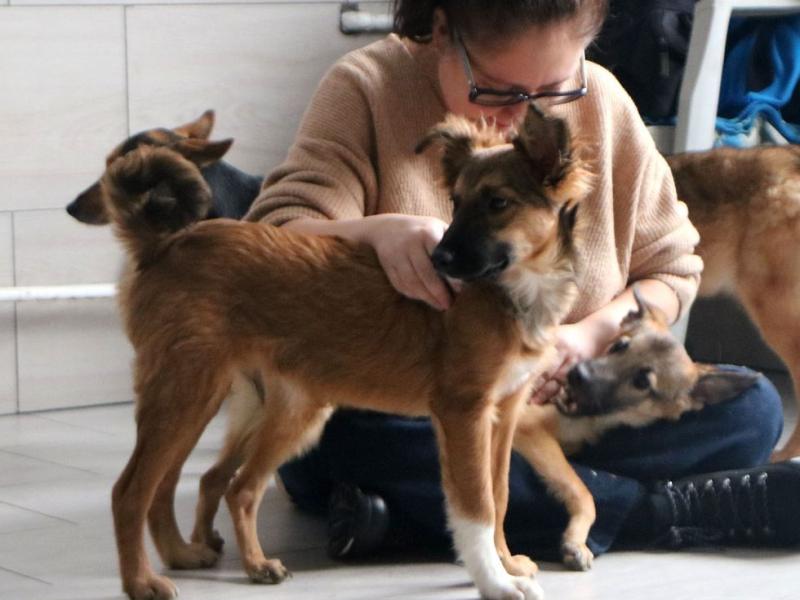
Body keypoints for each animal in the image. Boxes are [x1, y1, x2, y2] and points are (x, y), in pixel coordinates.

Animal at [101, 103, 591, 600]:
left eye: (497, 204)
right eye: (455, 202)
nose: (438, 260)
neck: (516, 288)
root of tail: (164, 244)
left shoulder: (504, 412)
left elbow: (500, 493)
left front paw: (506, 563)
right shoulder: (463, 412)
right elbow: (477, 506)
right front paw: (495, 581)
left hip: (269, 407)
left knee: (223, 487)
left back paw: (200, 556)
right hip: (185, 392)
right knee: (131, 491)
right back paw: (143, 581)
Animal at [512, 285, 760, 570]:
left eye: (642, 382)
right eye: (619, 345)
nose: (577, 374)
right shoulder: (527, 428)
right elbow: (583, 491)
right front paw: (576, 540)